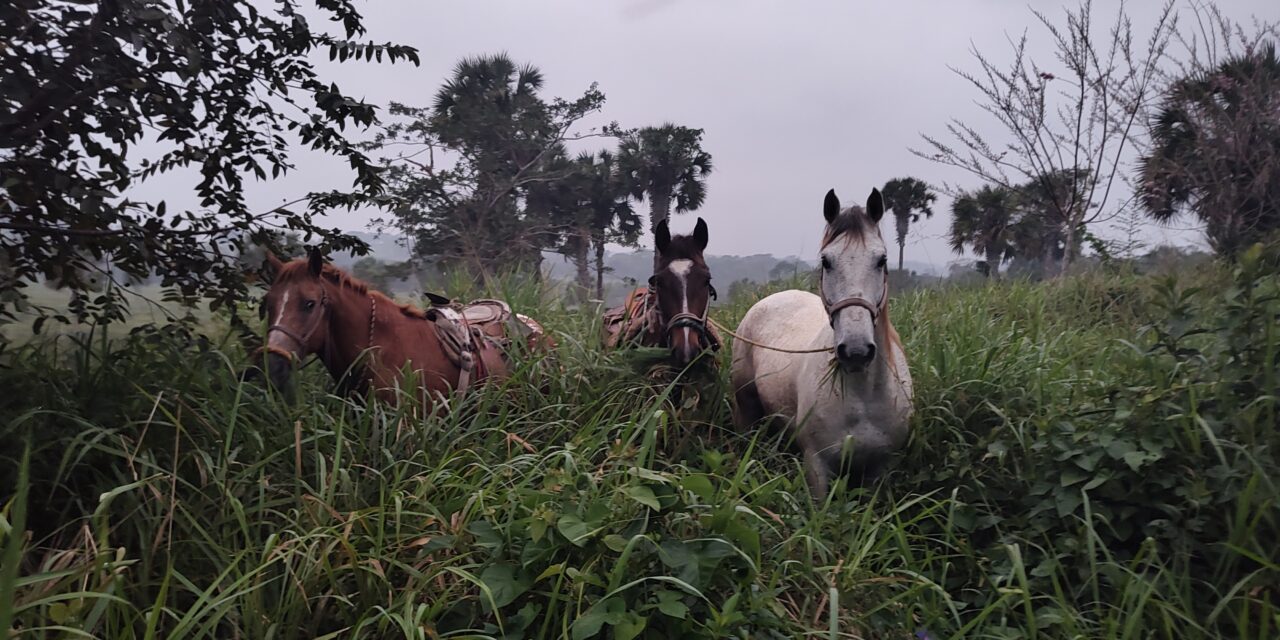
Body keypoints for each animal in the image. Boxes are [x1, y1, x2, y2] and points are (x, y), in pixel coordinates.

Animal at [732, 186, 911, 496]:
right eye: (827, 261)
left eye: (882, 260)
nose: (856, 351)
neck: (863, 398)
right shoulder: (817, 465)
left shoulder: (880, 469)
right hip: (746, 405)